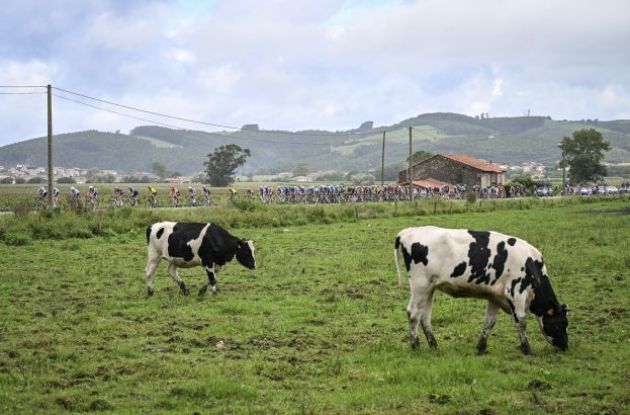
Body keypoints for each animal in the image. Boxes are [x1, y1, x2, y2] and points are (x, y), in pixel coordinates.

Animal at [396, 226, 568, 356]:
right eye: (562, 323)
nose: (566, 346)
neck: (531, 264)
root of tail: (407, 232)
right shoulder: (517, 292)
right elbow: (522, 321)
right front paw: (527, 349)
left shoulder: (496, 296)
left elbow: (490, 321)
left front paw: (481, 347)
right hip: (420, 285)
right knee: (413, 313)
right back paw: (415, 346)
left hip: (429, 288)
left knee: (424, 316)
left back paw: (434, 345)